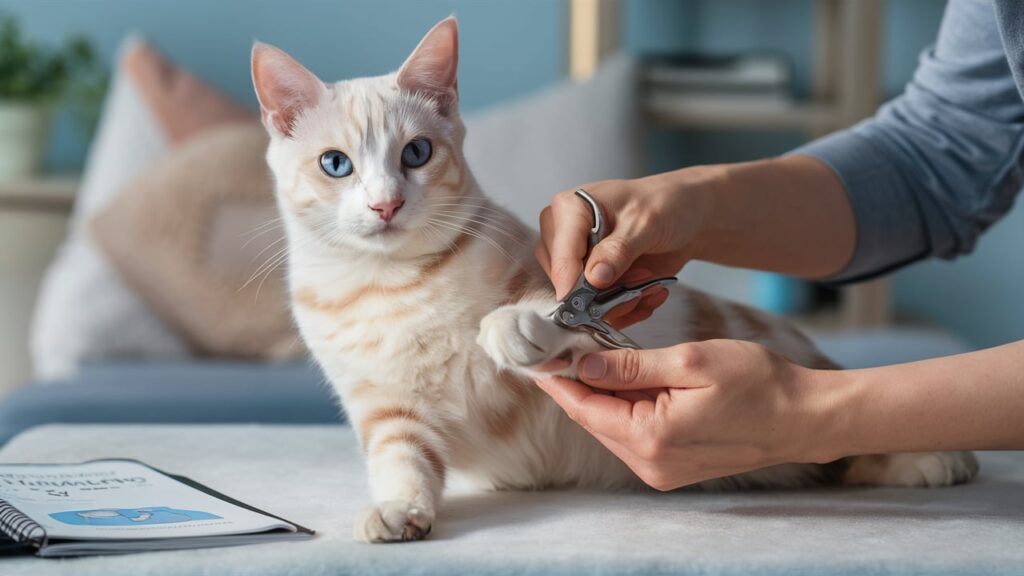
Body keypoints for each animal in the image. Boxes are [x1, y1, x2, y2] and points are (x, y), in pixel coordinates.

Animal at [251, 15, 978, 541]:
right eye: (337, 164)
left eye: (417, 153)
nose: (386, 205)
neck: (392, 285)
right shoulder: (388, 409)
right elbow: (402, 460)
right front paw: (400, 510)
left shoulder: (572, 332)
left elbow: (552, 324)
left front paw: (515, 326)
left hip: (812, 381)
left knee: (844, 427)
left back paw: (934, 458)